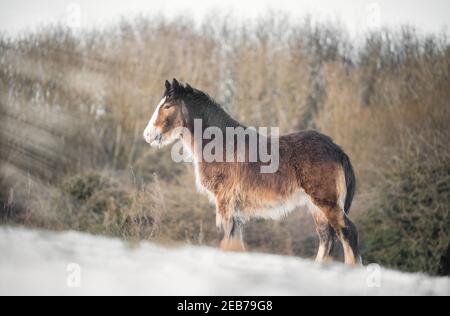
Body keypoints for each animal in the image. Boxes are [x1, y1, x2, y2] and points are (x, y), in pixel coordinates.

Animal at [142, 78, 360, 264]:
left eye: (167, 106)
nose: (148, 135)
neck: (221, 144)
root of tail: (337, 150)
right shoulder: (235, 210)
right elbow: (234, 241)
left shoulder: (225, 202)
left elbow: (227, 238)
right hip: (316, 207)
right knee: (327, 239)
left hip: (327, 202)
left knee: (347, 233)